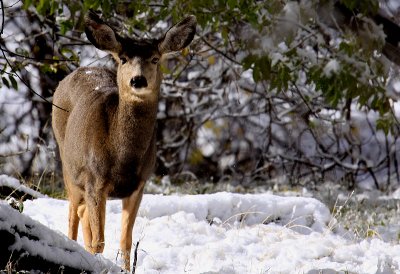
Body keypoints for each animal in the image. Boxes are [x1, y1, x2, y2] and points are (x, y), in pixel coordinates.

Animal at [52, 10, 196, 270]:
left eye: (155, 59)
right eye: (123, 58)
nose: (138, 80)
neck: (122, 158)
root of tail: (77, 71)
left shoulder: (139, 184)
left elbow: (126, 241)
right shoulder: (95, 179)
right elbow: (99, 240)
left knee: (81, 214)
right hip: (69, 167)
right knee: (72, 216)